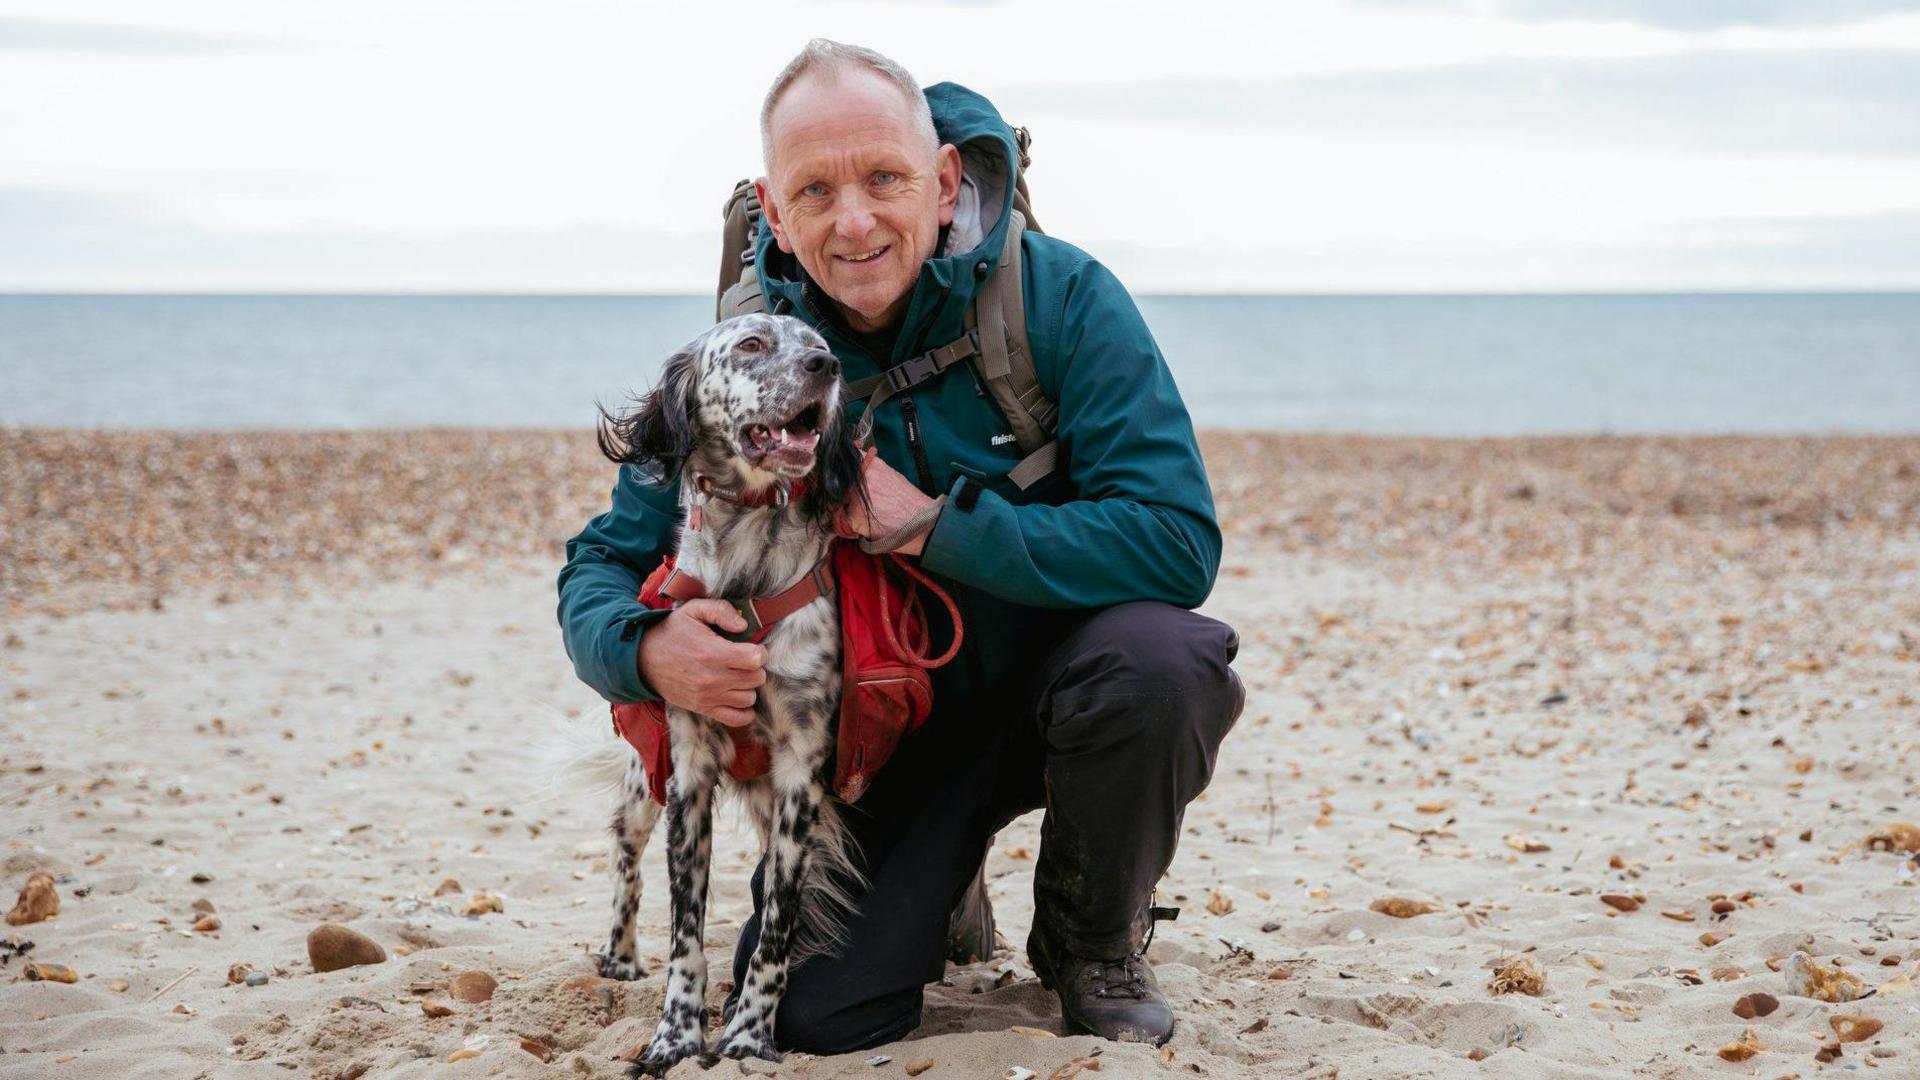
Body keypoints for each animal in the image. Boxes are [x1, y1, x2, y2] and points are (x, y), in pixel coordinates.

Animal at [587, 309, 867, 1068]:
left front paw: (748, 1034)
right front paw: (677, 1036)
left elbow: (775, 925)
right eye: (751, 344)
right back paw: (619, 954)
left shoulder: (800, 779)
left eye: (818, 346)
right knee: (626, 852)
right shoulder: (689, 774)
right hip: (645, 782)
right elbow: (686, 929)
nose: (828, 367)